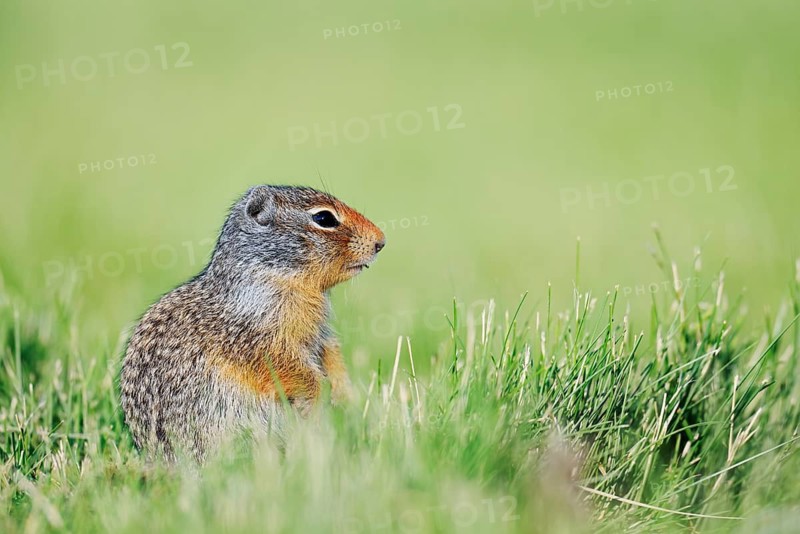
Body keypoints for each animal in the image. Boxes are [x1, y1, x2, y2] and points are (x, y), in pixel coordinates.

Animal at [119, 185, 385, 462]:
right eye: (324, 218)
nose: (381, 241)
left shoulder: (320, 334)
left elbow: (331, 353)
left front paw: (344, 394)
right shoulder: (258, 338)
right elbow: (289, 367)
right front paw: (318, 396)